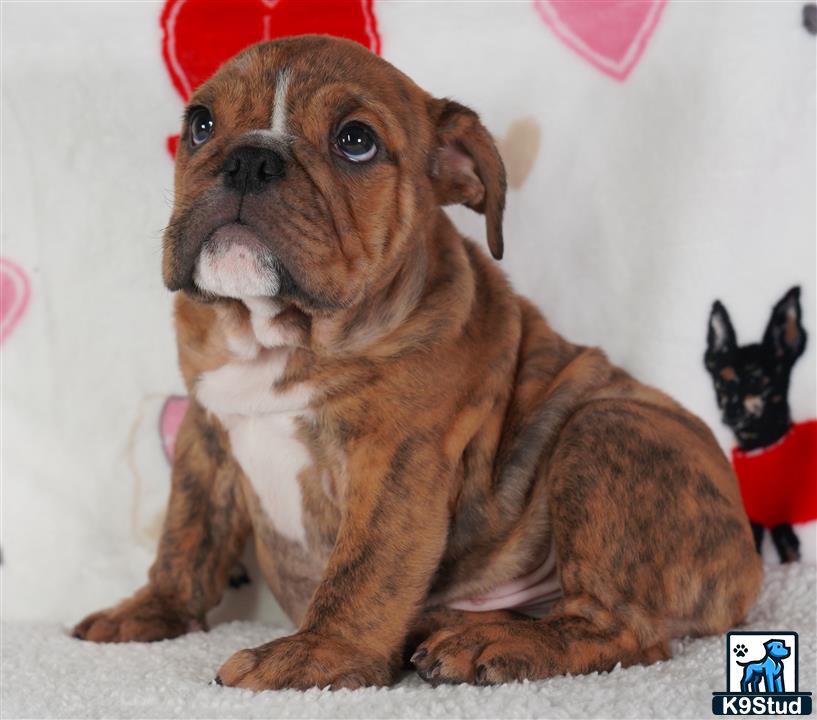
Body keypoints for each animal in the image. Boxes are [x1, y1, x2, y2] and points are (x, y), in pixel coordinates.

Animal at [73, 36, 760, 688]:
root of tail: (749, 567)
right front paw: (151, 609)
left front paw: (316, 654)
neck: (281, 334)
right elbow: (186, 534)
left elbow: (365, 566)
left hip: (607, 433)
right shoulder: (204, 432)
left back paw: (498, 642)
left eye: (356, 141)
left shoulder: (395, 456)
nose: (248, 158)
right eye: (201, 124)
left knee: (620, 627)